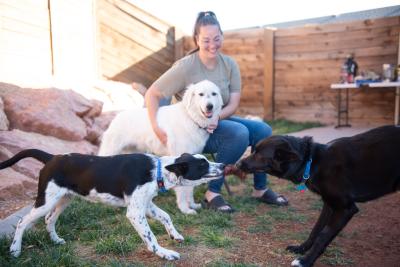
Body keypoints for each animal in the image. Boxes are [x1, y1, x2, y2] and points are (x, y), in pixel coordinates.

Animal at [0, 151, 223, 262]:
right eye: (202, 164)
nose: (222, 165)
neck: (158, 169)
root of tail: (52, 158)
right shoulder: (135, 212)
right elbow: (150, 238)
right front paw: (164, 253)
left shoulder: (146, 205)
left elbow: (166, 216)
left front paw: (174, 235)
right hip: (46, 201)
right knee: (22, 222)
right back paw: (15, 250)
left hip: (63, 199)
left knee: (49, 219)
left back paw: (55, 240)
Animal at [98, 80, 223, 215]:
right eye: (201, 94)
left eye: (214, 94)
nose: (209, 106)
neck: (191, 117)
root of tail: (119, 114)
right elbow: (183, 190)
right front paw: (185, 209)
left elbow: (190, 187)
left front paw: (192, 205)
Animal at [238, 126, 400, 267]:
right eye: (254, 150)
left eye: (258, 154)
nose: (238, 164)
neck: (313, 162)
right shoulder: (329, 204)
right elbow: (316, 230)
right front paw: (301, 248)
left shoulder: (345, 208)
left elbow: (323, 236)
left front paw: (305, 261)